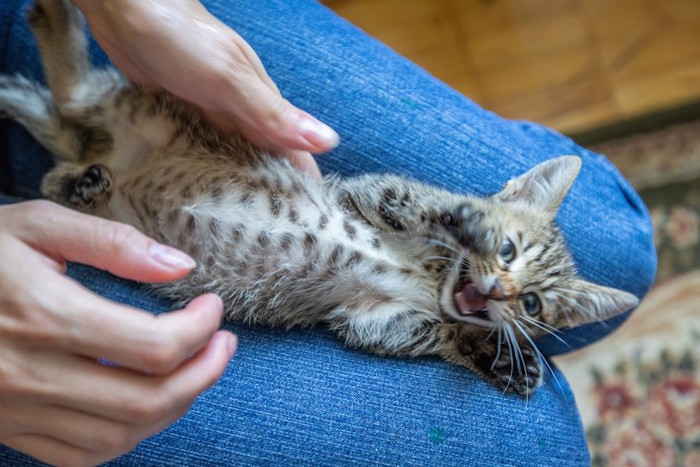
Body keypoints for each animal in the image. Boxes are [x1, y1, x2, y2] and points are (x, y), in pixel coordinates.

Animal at [0, 0, 636, 396]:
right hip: (152, 111)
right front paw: (470, 227)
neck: (430, 281)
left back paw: (82, 181)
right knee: (75, 96)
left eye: (533, 305)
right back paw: (57, 29)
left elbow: (435, 335)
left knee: (61, 158)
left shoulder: (369, 319)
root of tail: (118, 157)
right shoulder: (374, 194)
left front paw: (500, 357)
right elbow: (431, 205)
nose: (501, 291)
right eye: (507, 250)